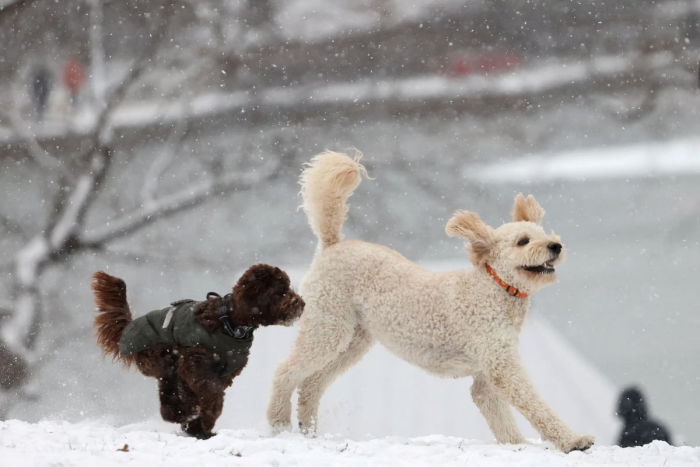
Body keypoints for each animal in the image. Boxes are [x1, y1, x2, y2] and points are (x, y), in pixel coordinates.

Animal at [268, 151, 596, 454]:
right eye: (523, 242)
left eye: (543, 233)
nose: (556, 245)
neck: (492, 289)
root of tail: (332, 245)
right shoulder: (501, 364)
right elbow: (535, 406)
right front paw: (573, 441)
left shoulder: (486, 373)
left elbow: (499, 416)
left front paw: (517, 446)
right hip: (328, 325)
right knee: (285, 370)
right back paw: (278, 421)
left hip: (354, 339)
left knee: (311, 383)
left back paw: (310, 431)